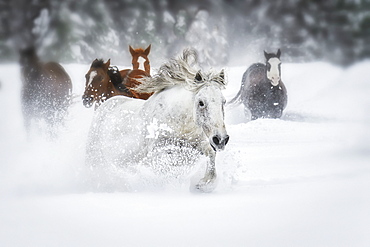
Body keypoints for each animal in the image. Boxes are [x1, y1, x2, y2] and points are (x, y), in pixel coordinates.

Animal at [87, 47, 230, 191]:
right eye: (201, 102)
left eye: (223, 101)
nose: (221, 139)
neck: (179, 125)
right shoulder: (158, 152)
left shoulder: (197, 145)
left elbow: (210, 153)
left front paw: (204, 183)